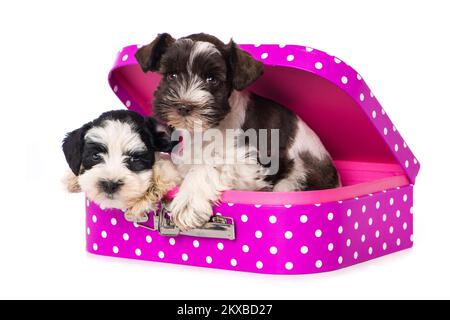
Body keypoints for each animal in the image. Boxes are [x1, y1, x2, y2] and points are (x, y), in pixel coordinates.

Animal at [135, 33, 340, 230]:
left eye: (212, 79)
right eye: (172, 75)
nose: (184, 107)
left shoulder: (251, 168)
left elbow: (208, 165)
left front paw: (188, 200)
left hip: (294, 177)